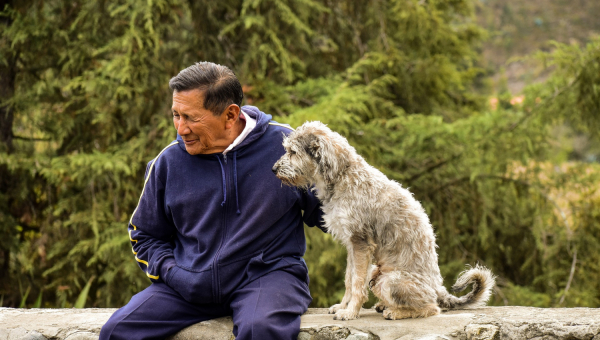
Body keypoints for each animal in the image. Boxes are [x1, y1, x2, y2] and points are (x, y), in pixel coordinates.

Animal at [274, 121, 496, 322]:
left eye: (293, 152)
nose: (273, 169)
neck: (343, 176)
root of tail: (438, 288)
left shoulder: (360, 243)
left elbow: (357, 284)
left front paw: (350, 312)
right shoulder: (352, 246)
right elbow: (349, 280)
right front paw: (343, 306)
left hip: (389, 281)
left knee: (432, 308)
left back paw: (395, 312)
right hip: (376, 271)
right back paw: (384, 306)